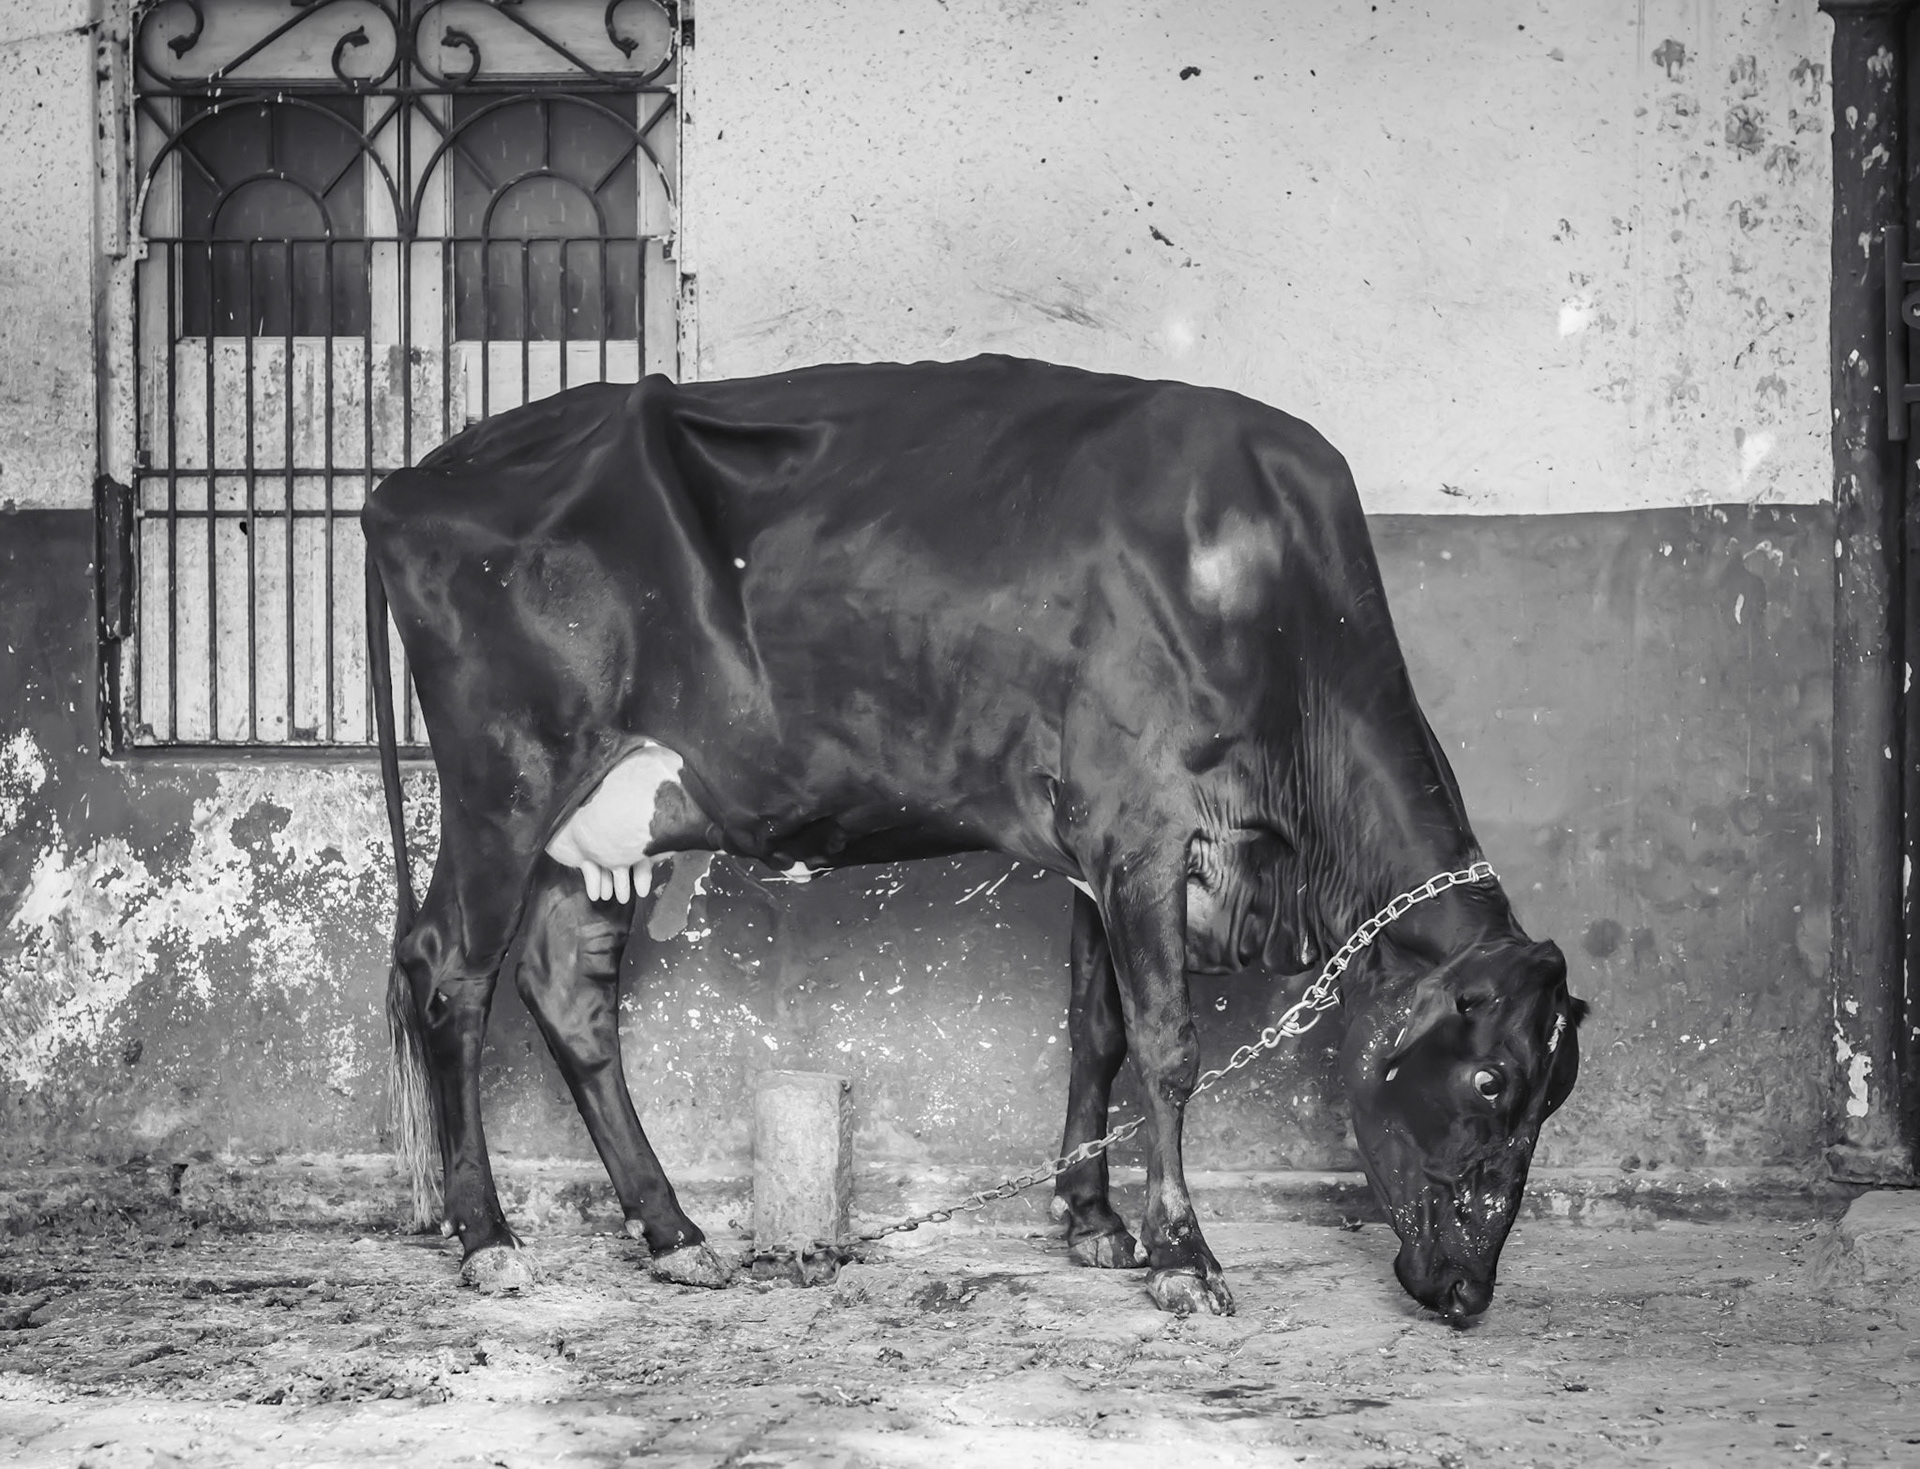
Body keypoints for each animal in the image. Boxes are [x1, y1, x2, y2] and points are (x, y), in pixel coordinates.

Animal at [362, 353, 1585, 1322]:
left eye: (1554, 1095)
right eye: (1491, 1081)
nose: (1468, 1293)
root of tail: (413, 477)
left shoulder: (1099, 850)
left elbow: (1097, 1027)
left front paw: (1092, 1218)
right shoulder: (1140, 824)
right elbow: (1169, 1045)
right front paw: (1184, 1254)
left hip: (606, 820)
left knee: (568, 993)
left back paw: (673, 1232)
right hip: (505, 782)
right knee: (447, 976)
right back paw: (490, 1239)